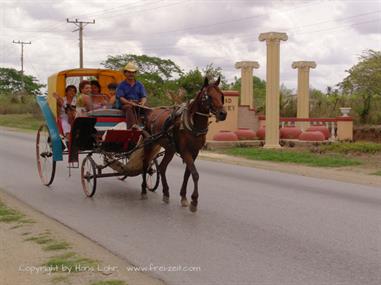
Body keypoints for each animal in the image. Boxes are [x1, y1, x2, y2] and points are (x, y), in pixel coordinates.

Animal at [142, 77, 227, 211]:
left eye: (221, 95)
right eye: (208, 96)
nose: (223, 114)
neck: (194, 125)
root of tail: (152, 111)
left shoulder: (195, 152)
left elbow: (188, 173)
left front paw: (184, 197)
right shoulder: (185, 151)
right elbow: (195, 174)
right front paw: (194, 201)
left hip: (170, 149)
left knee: (162, 167)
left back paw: (166, 193)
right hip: (149, 142)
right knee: (145, 164)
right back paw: (144, 190)